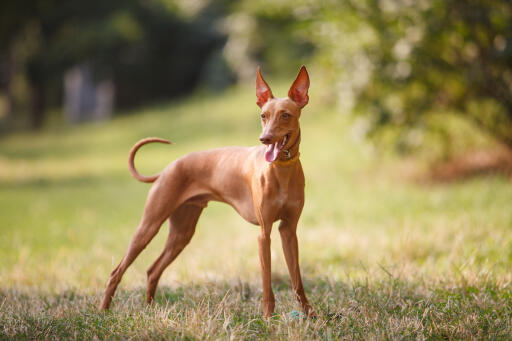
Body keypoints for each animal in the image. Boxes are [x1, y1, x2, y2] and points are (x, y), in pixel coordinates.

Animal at [99, 65, 314, 316]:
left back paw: (150, 309)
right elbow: (267, 282)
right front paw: (268, 317)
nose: (265, 138)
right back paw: (103, 311)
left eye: (285, 115)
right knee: (116, 272)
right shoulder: (264, 233)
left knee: (153, 270)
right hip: (149, 226)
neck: (281, 170)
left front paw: (309, 314)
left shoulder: (288, 230)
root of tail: (166, 169)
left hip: (181, 233)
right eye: (263, 116)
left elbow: (297, 280)